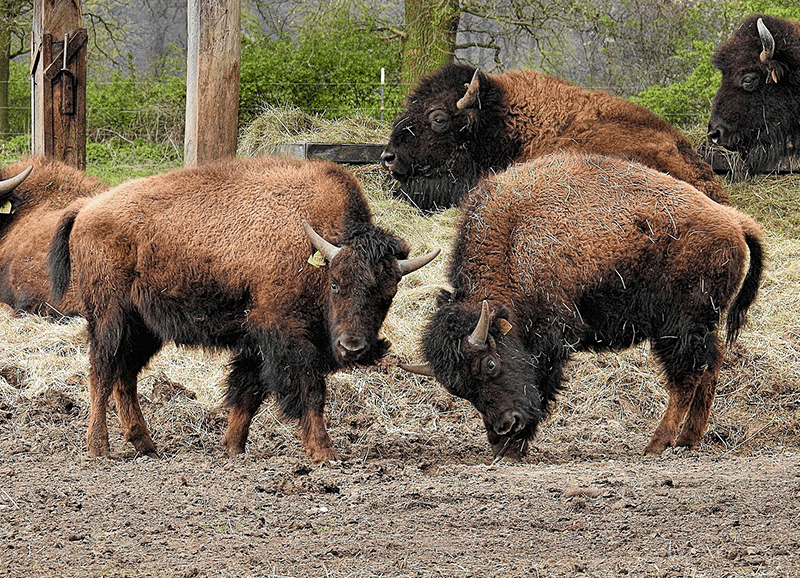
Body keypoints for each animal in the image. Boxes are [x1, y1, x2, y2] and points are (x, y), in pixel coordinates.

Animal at [49, 156, 439, 462]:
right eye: (335, 283)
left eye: (389, 294)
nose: (353, 347)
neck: (315, 250)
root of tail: (86, 208)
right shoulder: (286, 336)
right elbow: (309, 390)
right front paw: (325, 452)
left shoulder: (256, 341)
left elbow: (247, 393)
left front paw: (232, 447)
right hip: (110, 317)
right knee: (102, 373)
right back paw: (99, 448)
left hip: (145, 327)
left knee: (125, 376)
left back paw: (146, 445)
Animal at [403, 152, 762, 459]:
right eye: (459, 390)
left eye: (490, 364)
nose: (505, 426)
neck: (513, 244)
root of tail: (734, 221)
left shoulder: (550, 340)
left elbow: (543, 385)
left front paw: (515, 448)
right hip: (701, 325)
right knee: (709, 367)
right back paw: (688, 440)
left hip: (678, 327)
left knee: (686, 378)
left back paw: (656, 445)